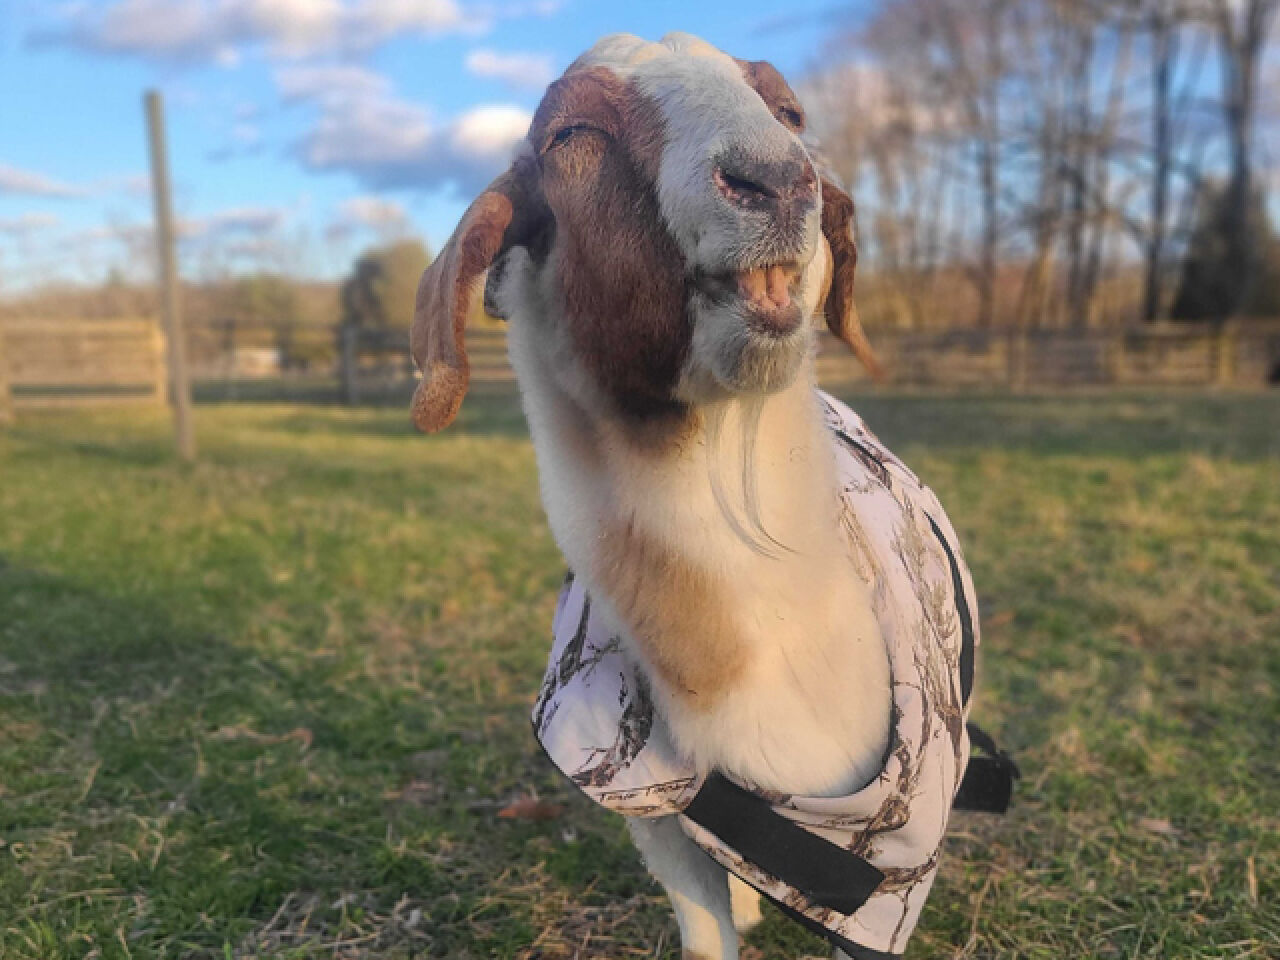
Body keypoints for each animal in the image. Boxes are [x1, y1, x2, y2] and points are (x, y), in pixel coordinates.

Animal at [410, 33, 1006, 960]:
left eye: (790, 112)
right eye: (570, 133)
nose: (778, 180)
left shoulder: (881, 887)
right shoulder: (656, 815)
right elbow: (706, 924)